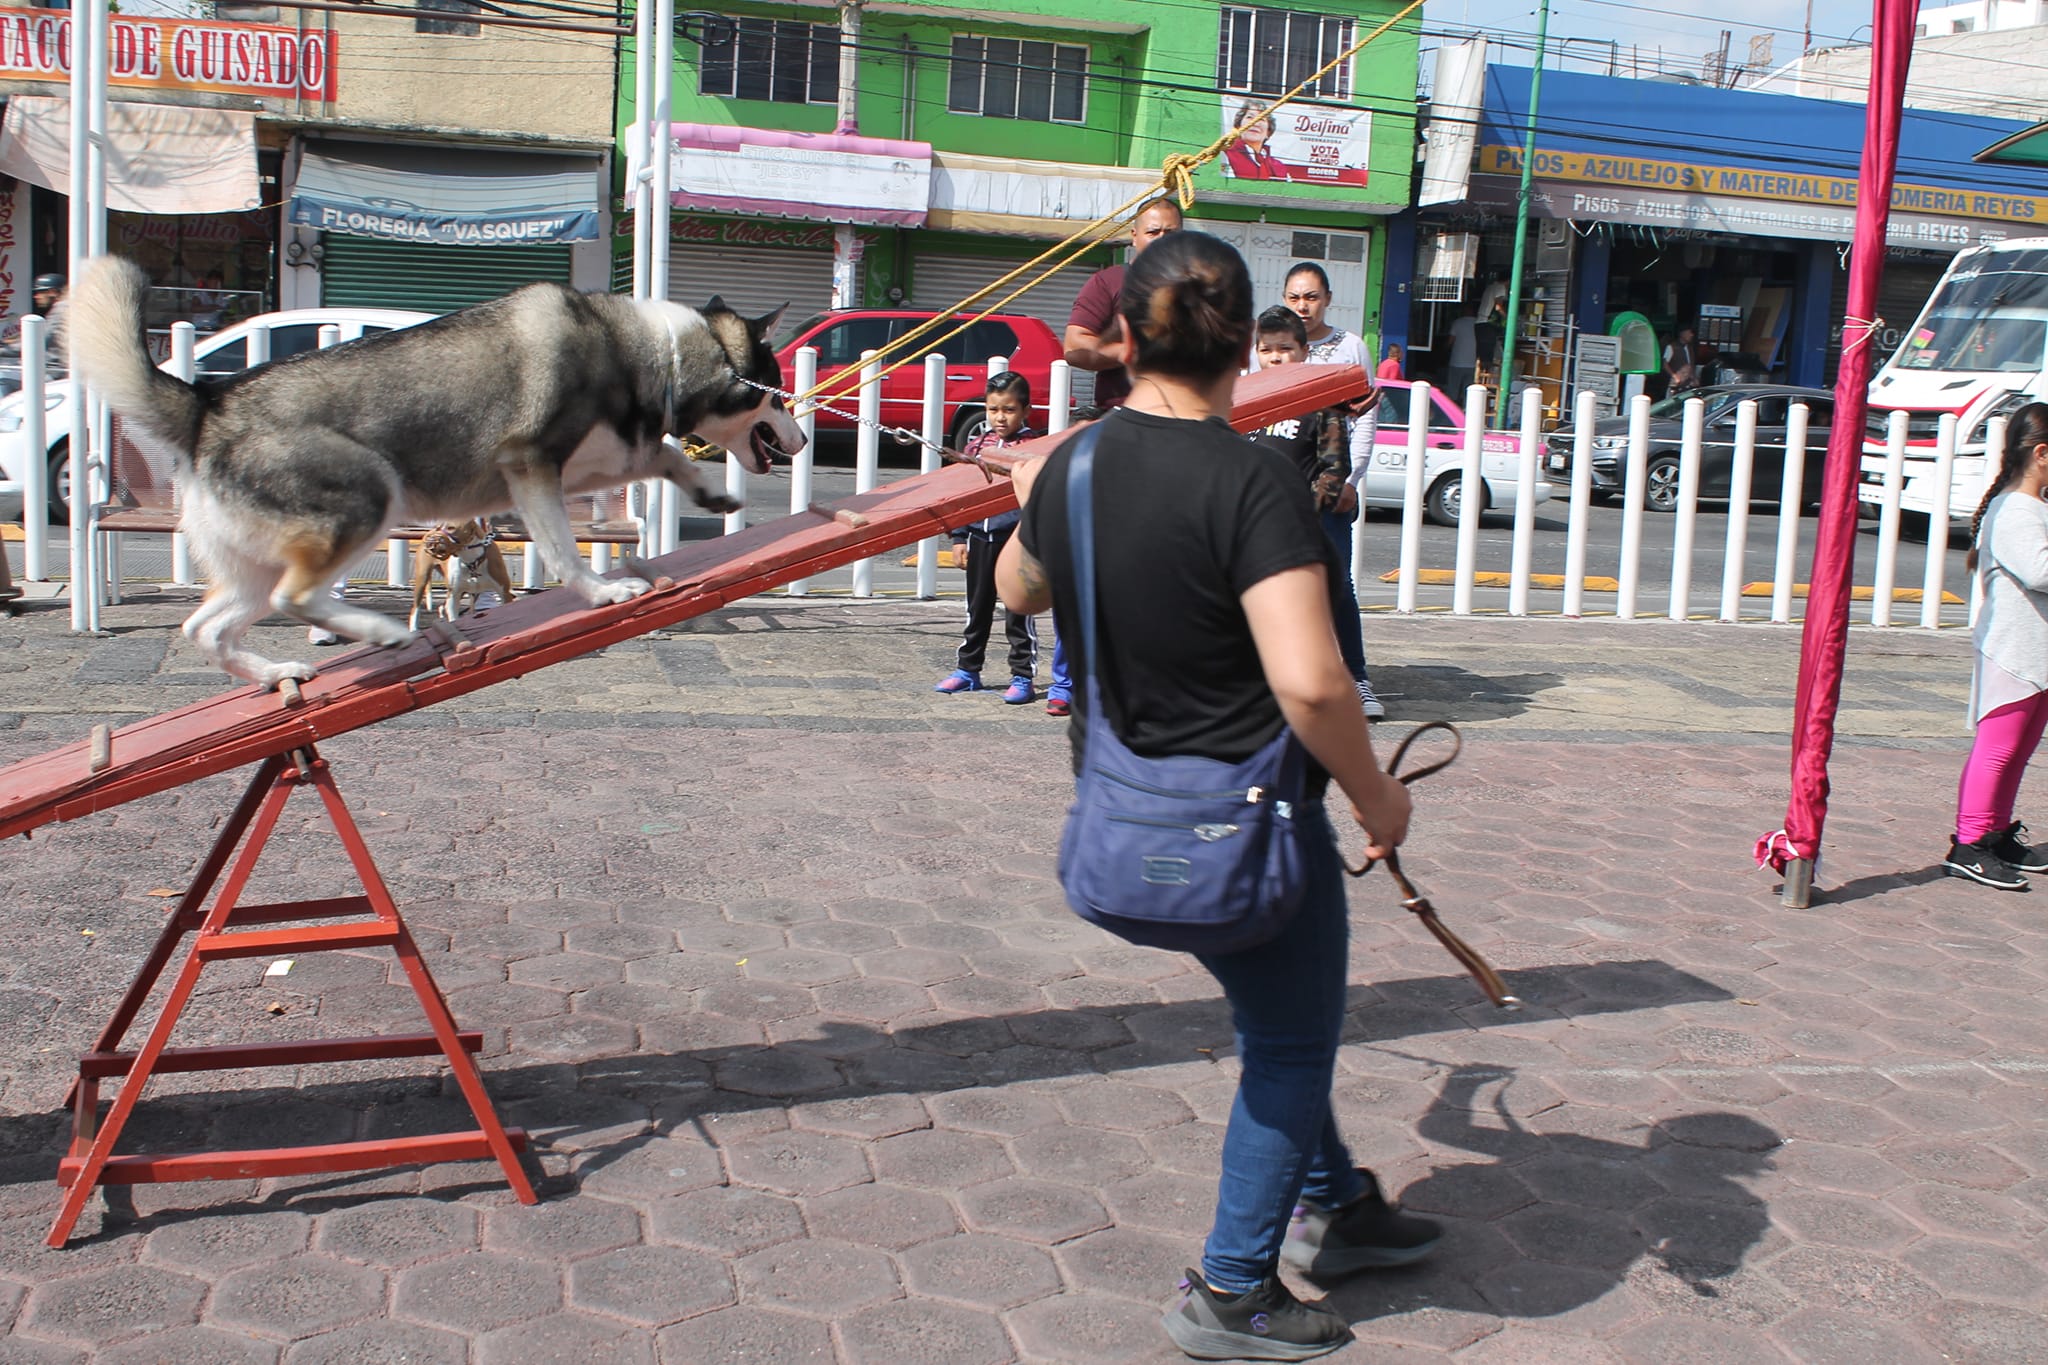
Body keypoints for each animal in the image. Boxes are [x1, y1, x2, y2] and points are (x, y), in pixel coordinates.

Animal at [66, 257, 798, 687]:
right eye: (779, 393)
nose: (801, 438)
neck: (651, 351)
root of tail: (207, 402)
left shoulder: (596, 461)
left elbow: (663, 455)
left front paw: (707, 489)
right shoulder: (531, 464)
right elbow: (564, 550)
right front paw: (601, 591)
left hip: (252, 563)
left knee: (206, 628)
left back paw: (275, 673)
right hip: (369, 496)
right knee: (295, 598)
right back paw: (382, 631)